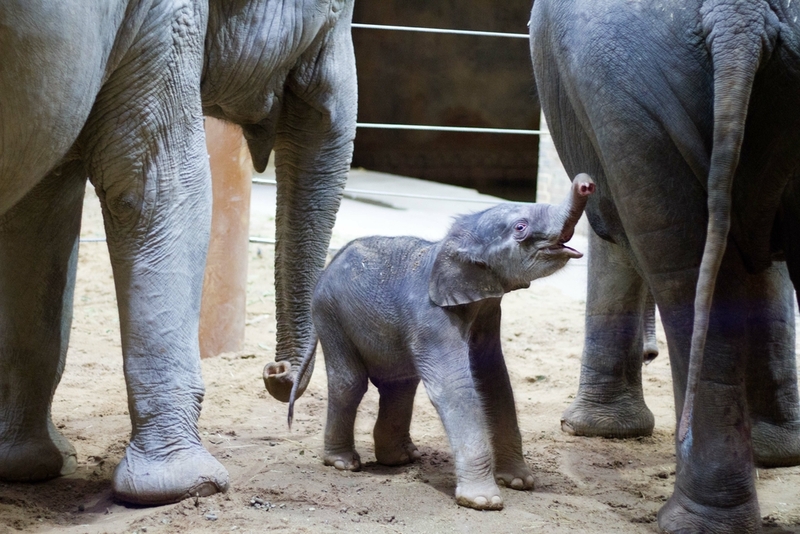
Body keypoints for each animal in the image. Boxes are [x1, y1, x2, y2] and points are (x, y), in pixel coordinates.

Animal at [0, 0, 356, 508]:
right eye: (334, 10)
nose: (278, 371)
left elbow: (37, 213)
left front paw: (29, 466)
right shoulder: (161, 23)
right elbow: (162, 188)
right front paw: (190, 485)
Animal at [290, 174, 592, 508]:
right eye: (520, 227)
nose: (586, 183)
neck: (452, 245)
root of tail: (328, 266)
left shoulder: (487, 312)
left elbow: (494, 380)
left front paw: (519, 482)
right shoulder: (431, 317)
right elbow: (454, 386)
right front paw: (484, 502)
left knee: (400, 384)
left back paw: (401, 458)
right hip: (330, 314)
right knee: (350, 382)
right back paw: (344, 463)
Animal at [532, 0, 800, 532]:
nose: (649, 354)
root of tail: (738, 14)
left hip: (621, 83)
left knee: (677, 260)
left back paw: (690, 519)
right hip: (632, 82)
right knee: (688, 263)